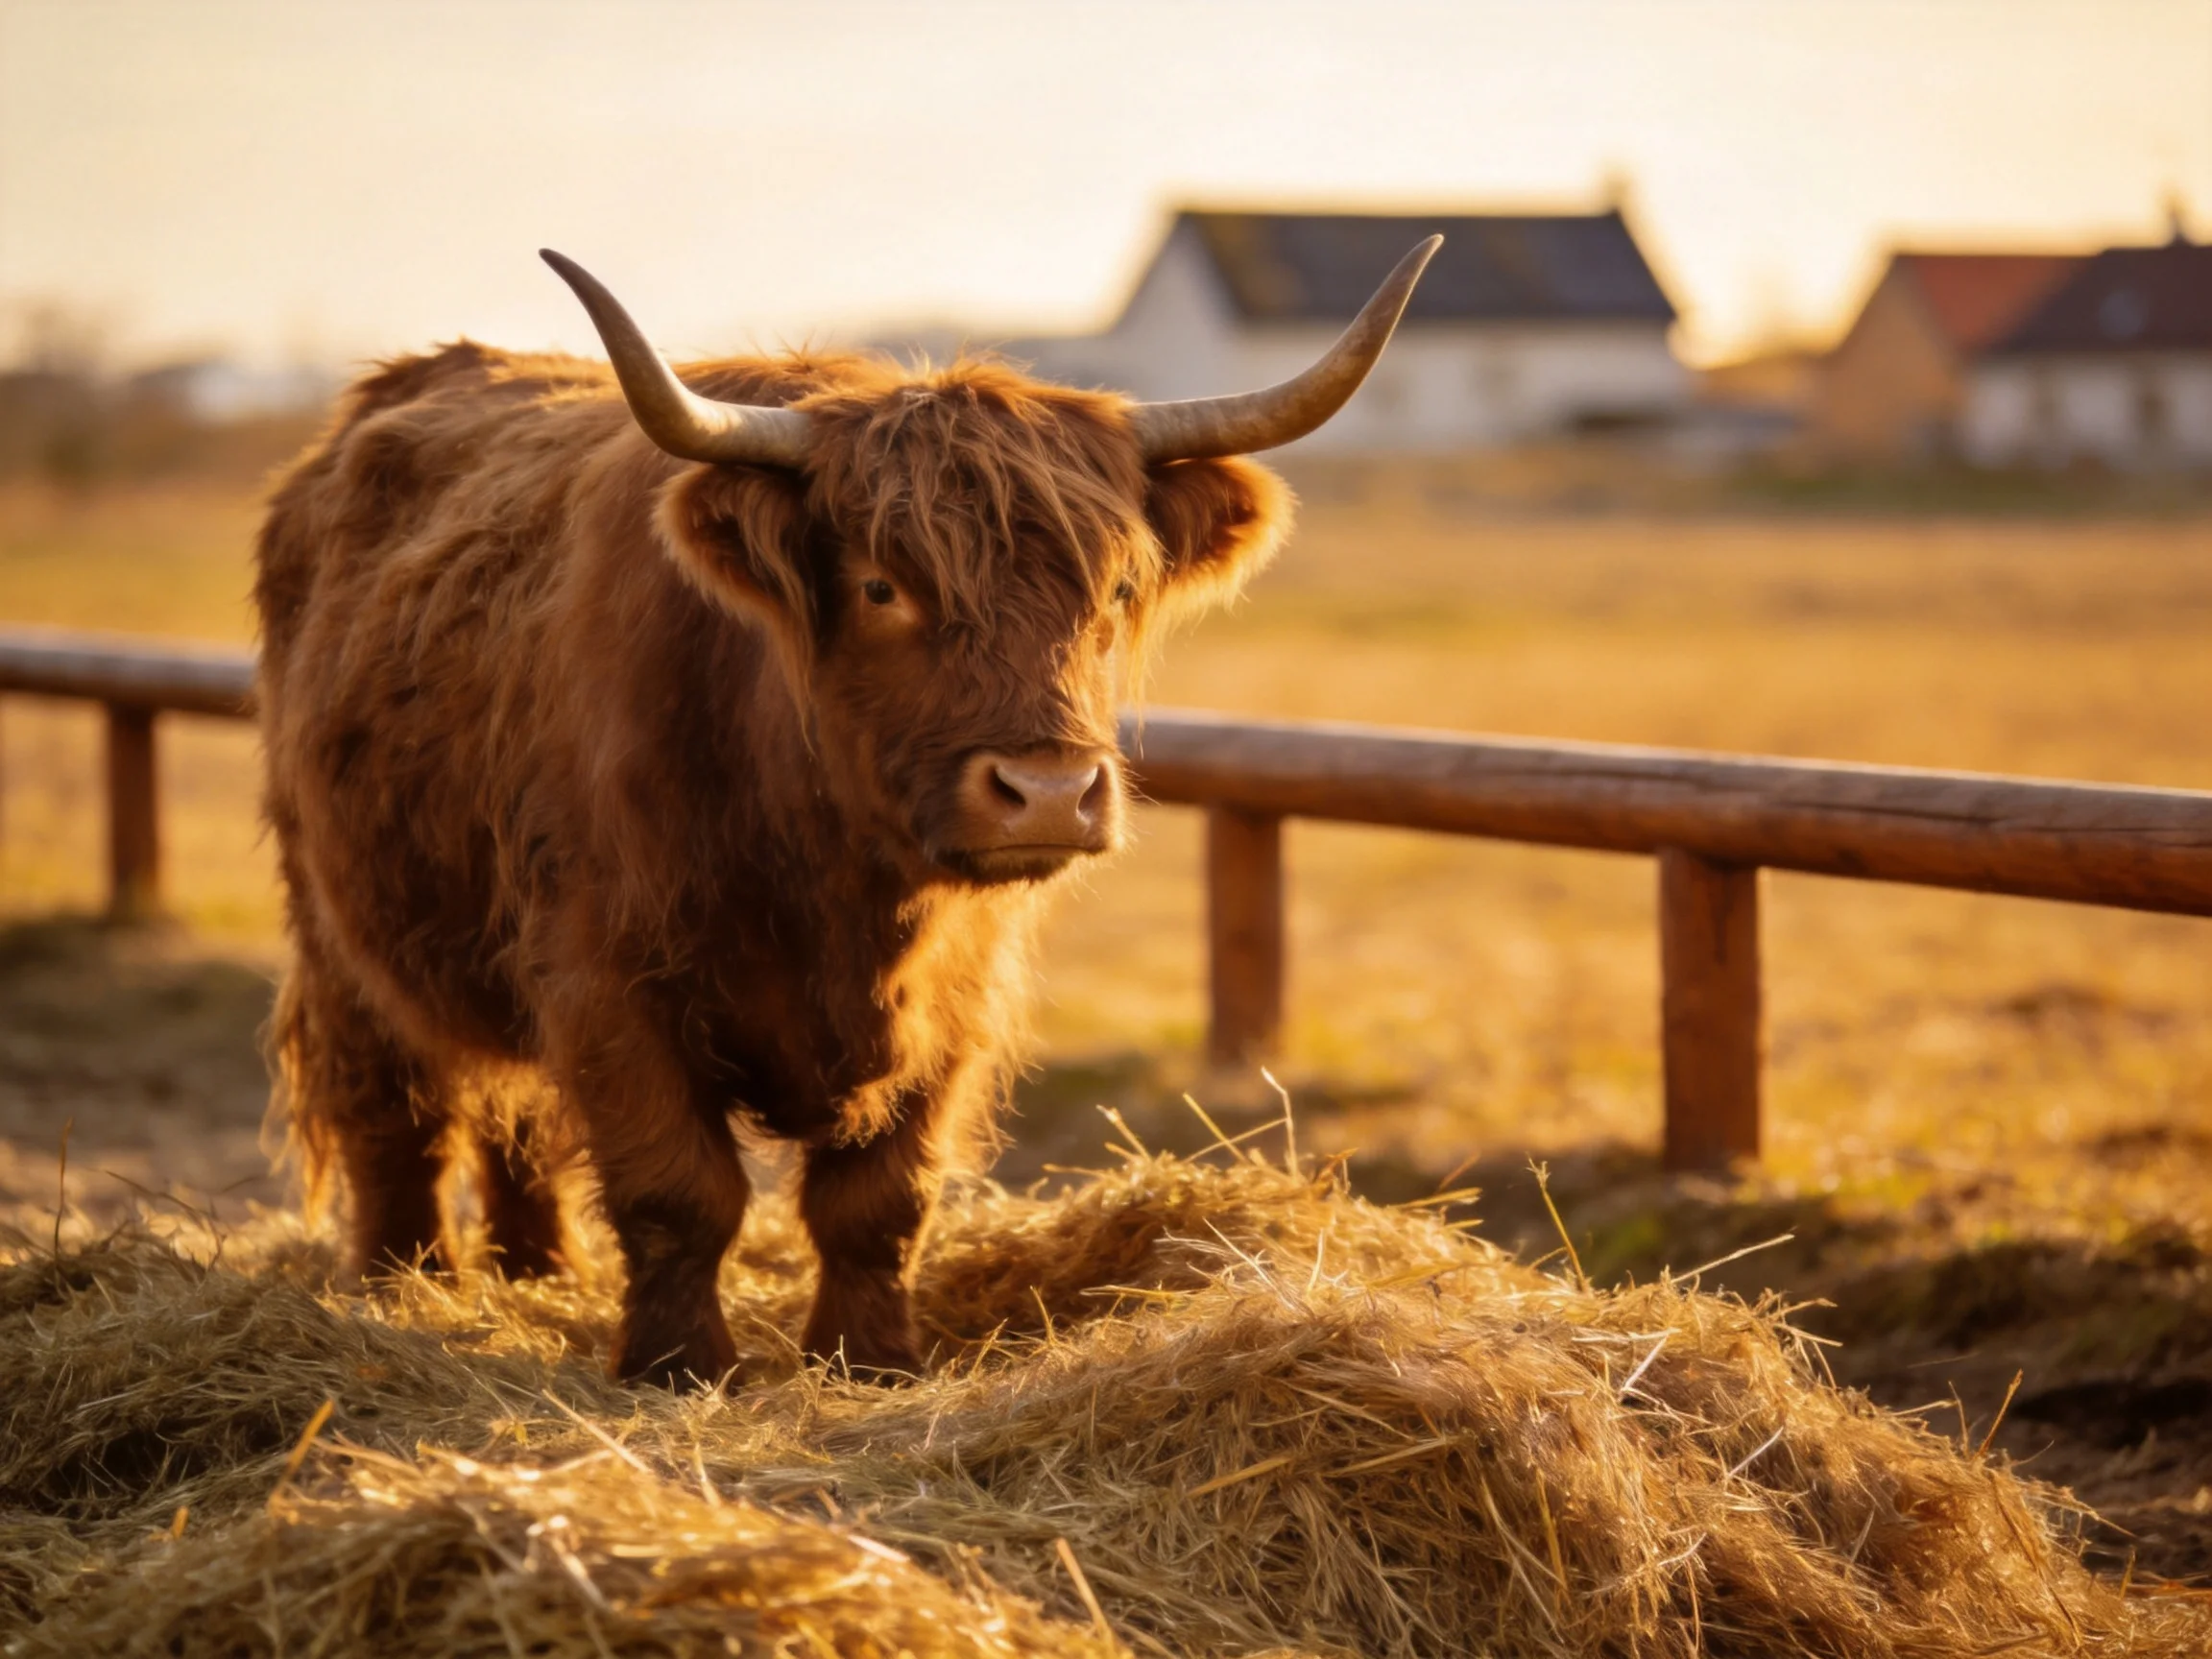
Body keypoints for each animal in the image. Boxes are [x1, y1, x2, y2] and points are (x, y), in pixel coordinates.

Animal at [255, 237, 1438, 1387]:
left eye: (1111, 593)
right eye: (881, 586)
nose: (1049, 793)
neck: (835, 878)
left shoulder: (955, 999)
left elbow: (880, 1200)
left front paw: (871, 1362)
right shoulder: (604, 978)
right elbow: (679, 1191)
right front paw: (680, 1369)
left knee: (519, 1124)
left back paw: (538, 1272)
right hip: (336, 920)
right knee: (393, 1108)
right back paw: (403, 1286)